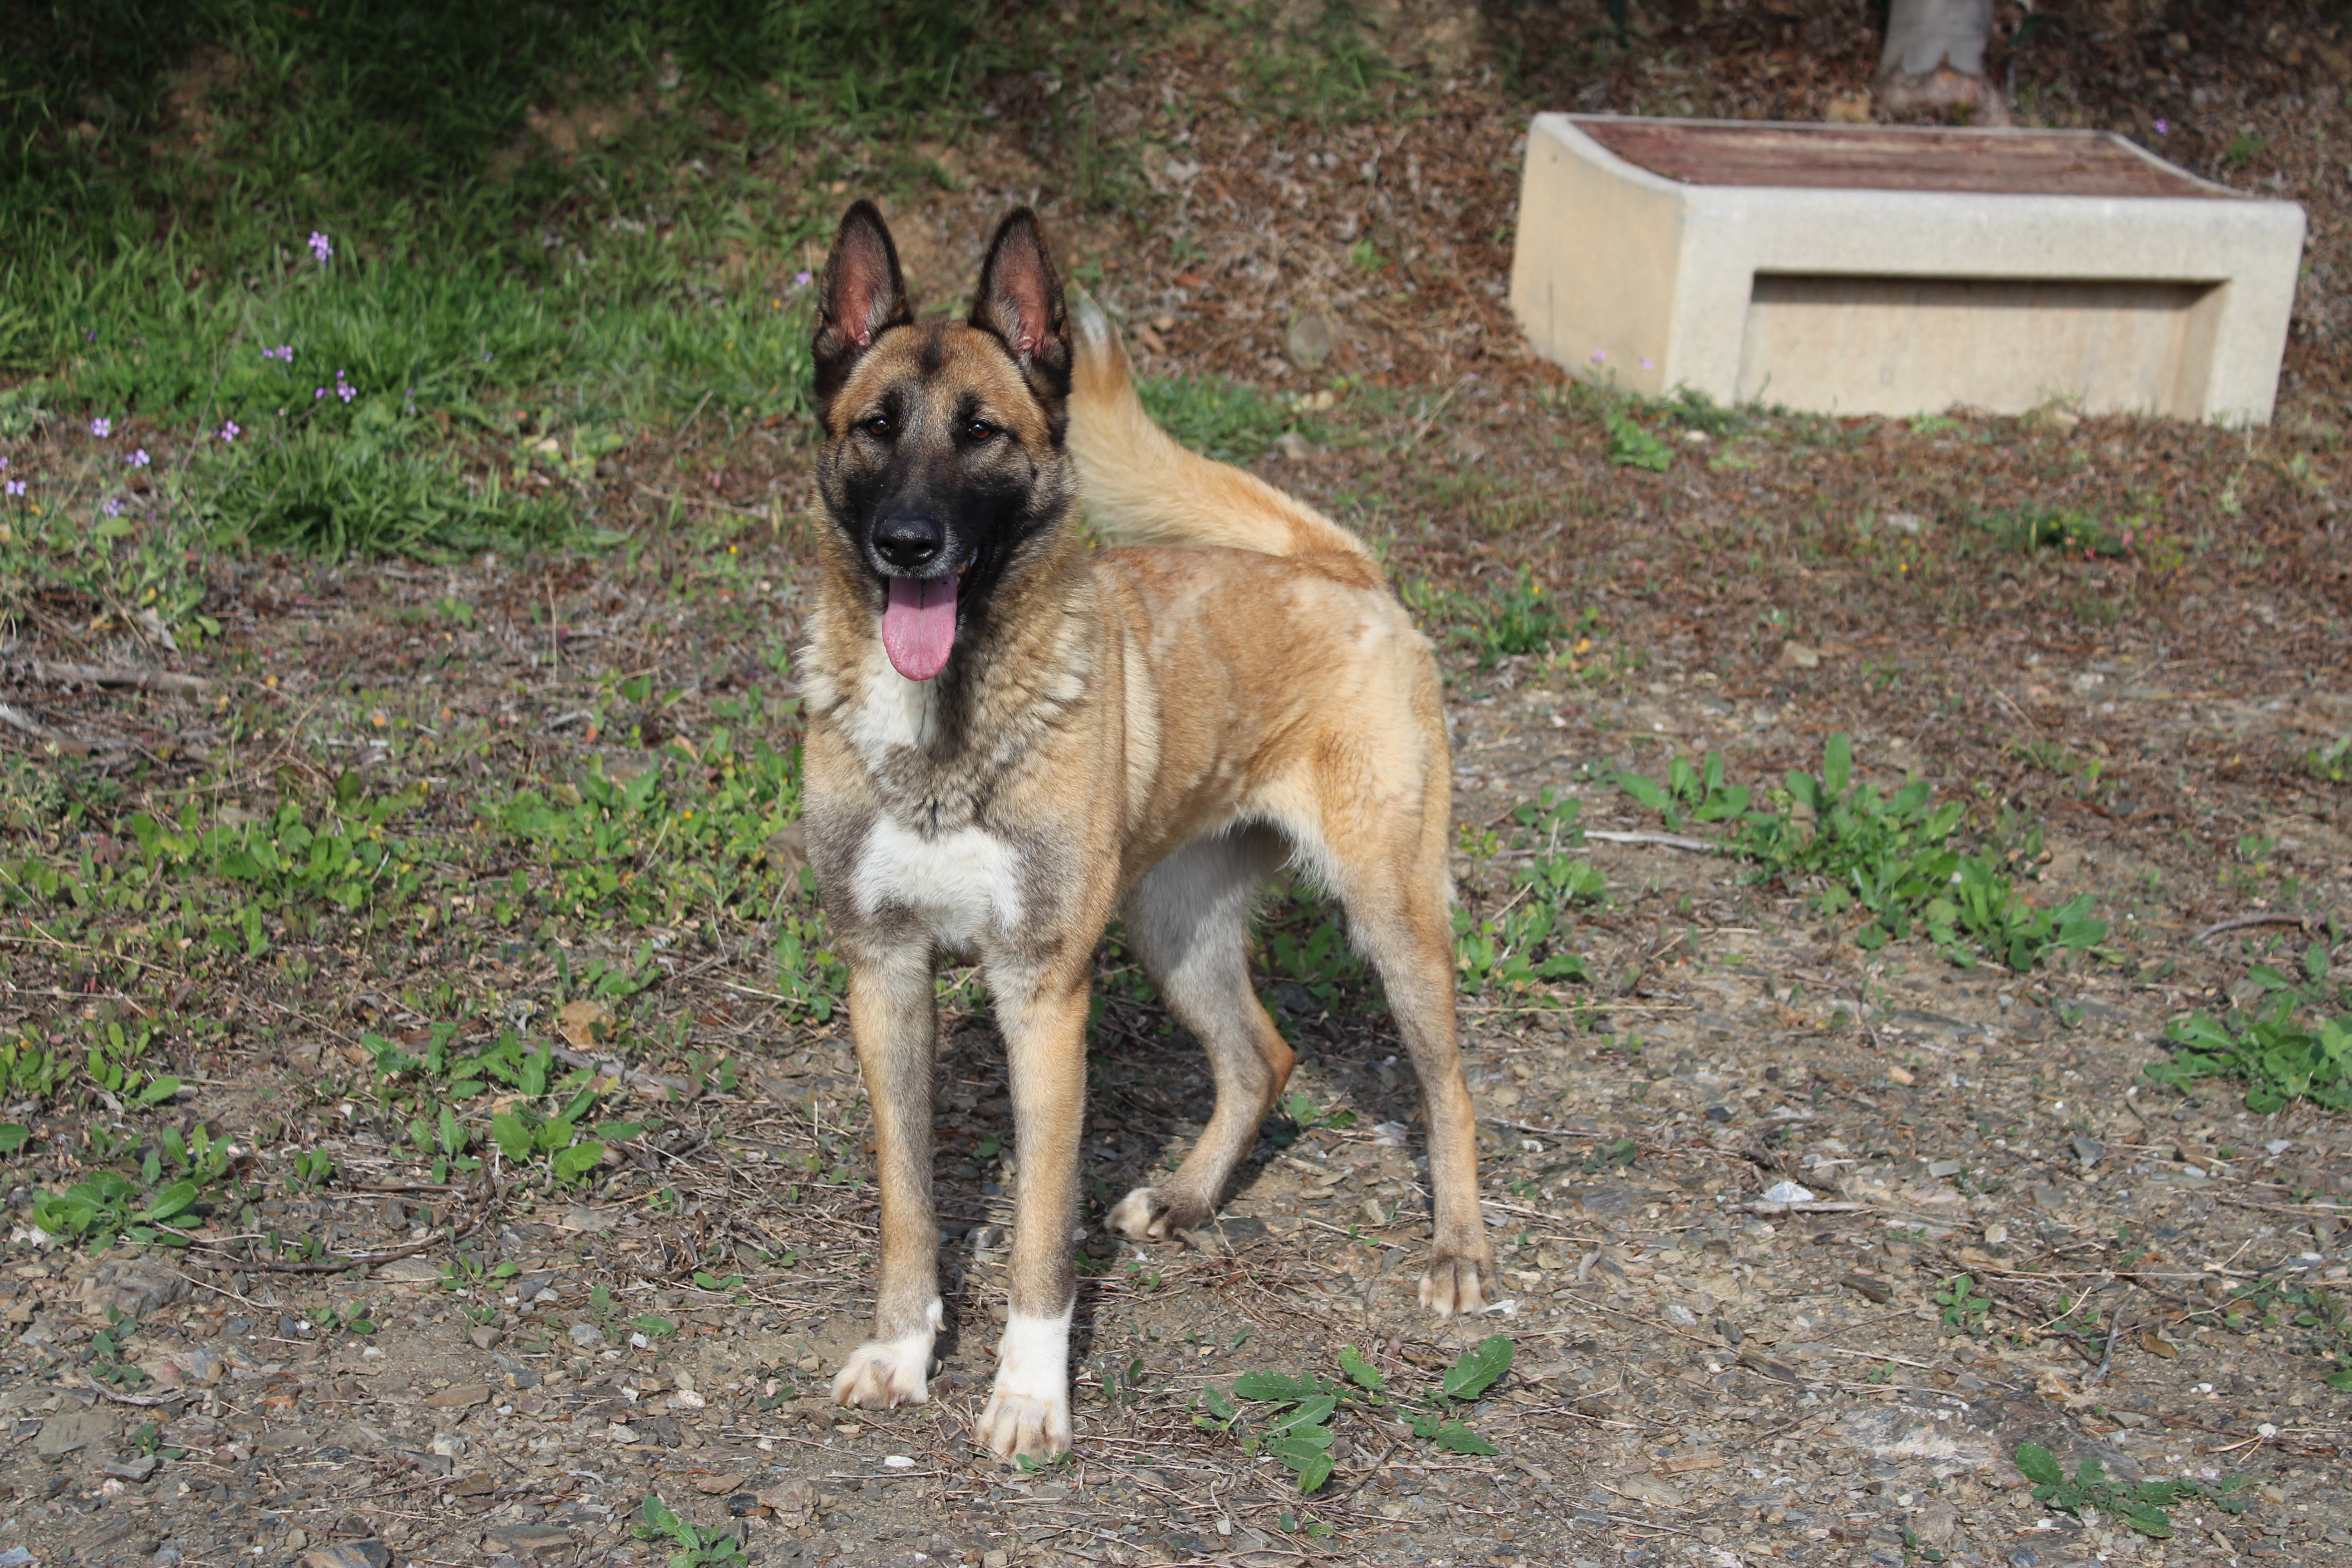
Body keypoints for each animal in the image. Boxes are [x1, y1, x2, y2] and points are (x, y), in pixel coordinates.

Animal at [799, 202, 1477, 1467]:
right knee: (1262, 1058)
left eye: (982, 433)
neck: (949, 727)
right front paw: (902, 1351)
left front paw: (1029, 1397)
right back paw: (1191, 1195)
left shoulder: (1042, 997)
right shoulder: (885, 977)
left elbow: (1036, 1235)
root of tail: (1339, 567)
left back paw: (1459, 1249)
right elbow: (909, 1207)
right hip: (1173, 931)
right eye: (875, 426)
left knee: (1447, 1086)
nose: (908, 543)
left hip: (1392, 918)